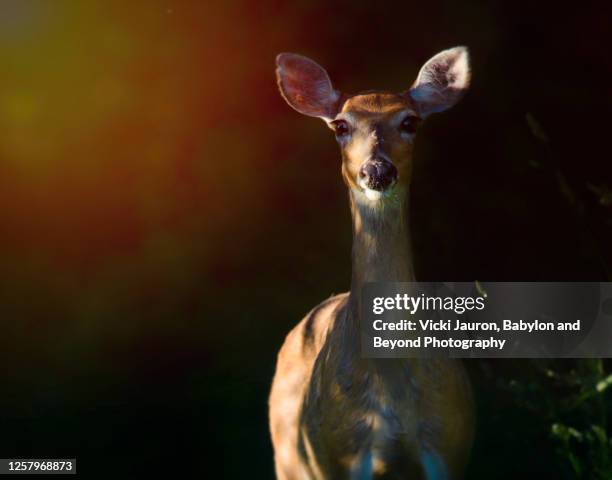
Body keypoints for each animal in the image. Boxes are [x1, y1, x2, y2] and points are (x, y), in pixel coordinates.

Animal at [270, 47, 476, 480]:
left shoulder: (449, 443)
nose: (377, 169)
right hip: (291, 455)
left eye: (410, 121)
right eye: (341, 125)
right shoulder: (341, 455)